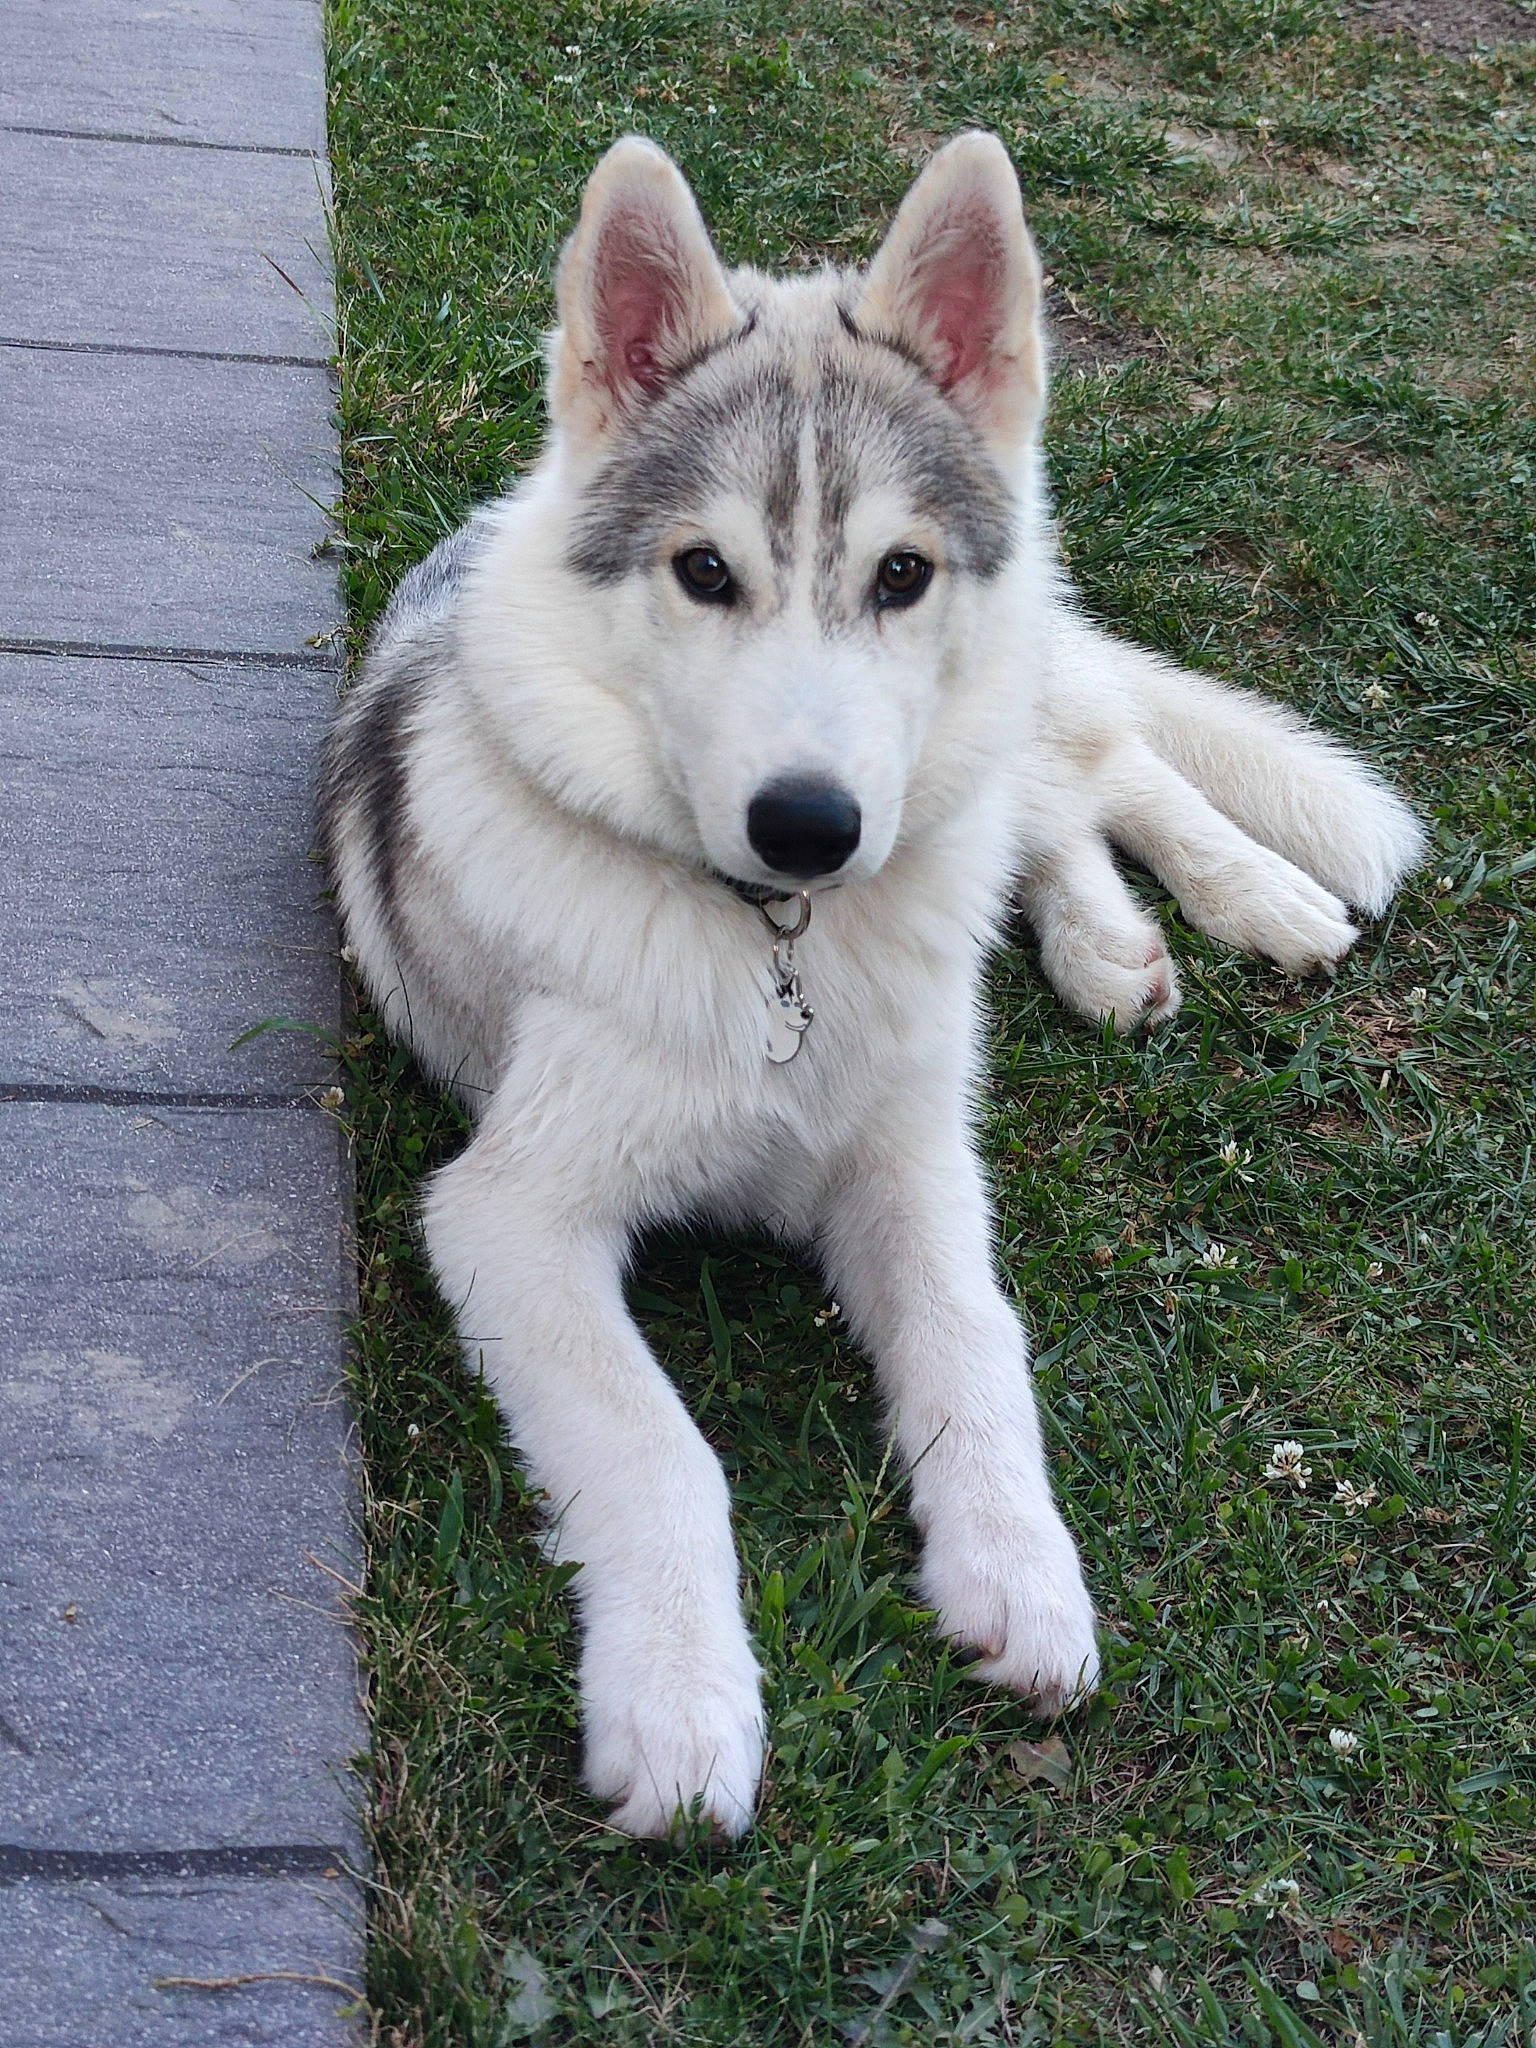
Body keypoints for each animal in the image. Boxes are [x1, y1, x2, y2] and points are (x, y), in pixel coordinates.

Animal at [320, 132, 1422, 1839]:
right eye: (704, 572)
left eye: (900, 573)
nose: (810, 824)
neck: (780, 948)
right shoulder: (507, 1212)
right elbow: (661, 1447)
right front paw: (683, 1699)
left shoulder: (911, 1164)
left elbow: (978, 1343)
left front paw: (1021, 1568)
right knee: (1056, 815)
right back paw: (1114, 944)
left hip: (1001, 717)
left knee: (1097, 763)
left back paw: (1253, 894)